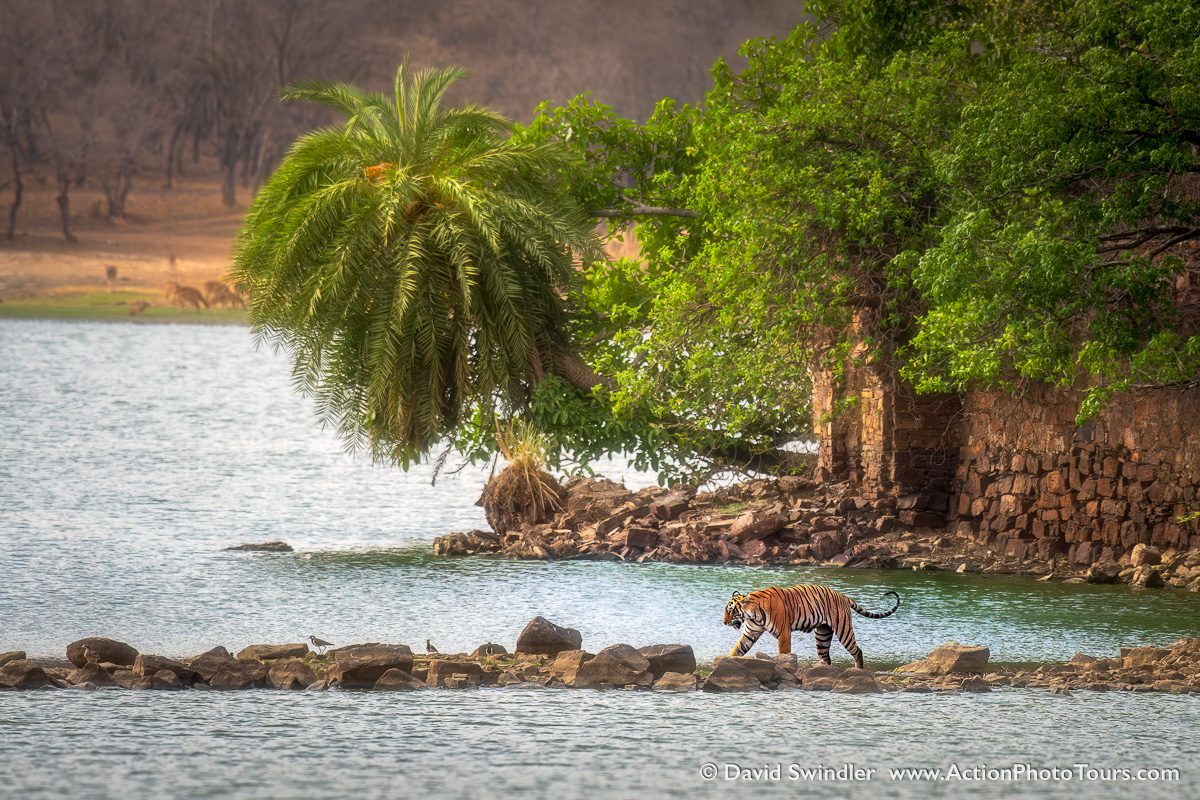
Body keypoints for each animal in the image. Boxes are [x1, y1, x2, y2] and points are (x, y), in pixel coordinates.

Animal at [720, 582, 902, 671]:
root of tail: (843, 595)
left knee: (857, 651)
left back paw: (858, 670)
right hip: (822, 634)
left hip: (843, 630)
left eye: (730, 610)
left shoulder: (784, 633)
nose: (723, 622)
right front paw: (727, 661)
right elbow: (737, 650)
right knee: (826, 657)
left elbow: (783, 653)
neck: (753, 614)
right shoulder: (751, 632)